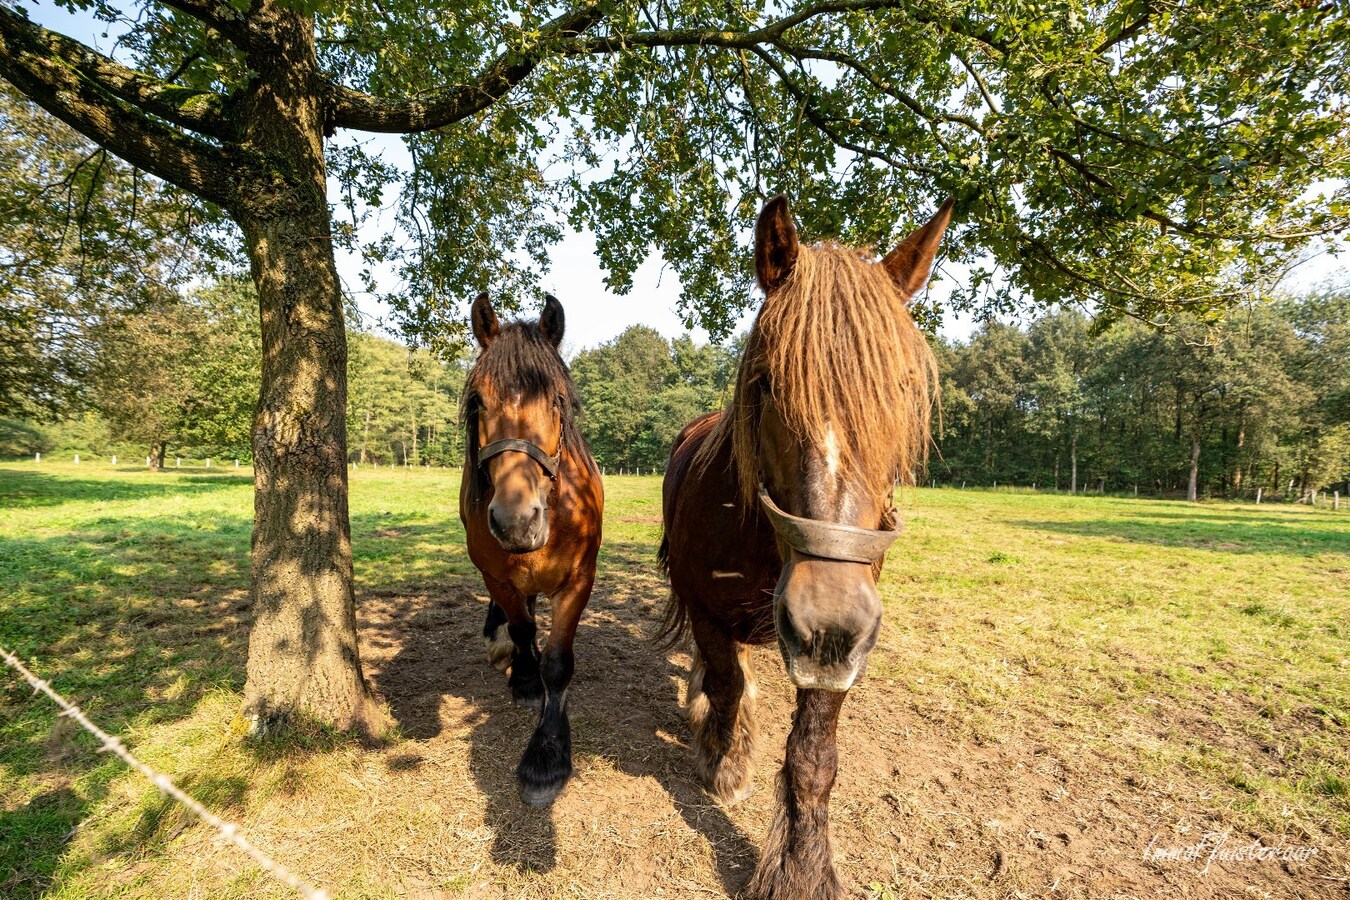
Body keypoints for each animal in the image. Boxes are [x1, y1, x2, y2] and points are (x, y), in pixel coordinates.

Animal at [459, 292, 602, 804]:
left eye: (558, 400)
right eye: (477, 402)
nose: (517, 521)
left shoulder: (579, 578)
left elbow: (558, 664)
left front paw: (547, 755)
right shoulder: (495, 574)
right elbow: (520, 627)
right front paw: (524, 677)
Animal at [658, 195, 945, 895]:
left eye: (901, 387)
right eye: (765, 383)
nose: (829, 617)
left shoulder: (836, 652)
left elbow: (814, 754)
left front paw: (801, 866)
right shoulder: (708, 610)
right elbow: (726, 683)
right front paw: (725, 761)